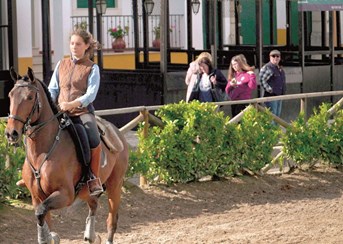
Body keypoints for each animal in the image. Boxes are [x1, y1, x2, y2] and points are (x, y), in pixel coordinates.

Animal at [4, 66, 130, 244]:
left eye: (29, 97)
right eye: (10, 95)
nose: (11, 133)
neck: (43, 152)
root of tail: (117, 133)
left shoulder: (65, 195)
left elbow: (41, 213)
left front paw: (49, 237)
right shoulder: (37, 197)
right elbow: (42, 216)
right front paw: (51, 236)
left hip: (115, 185)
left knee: (111, 220)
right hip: (88, 191)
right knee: (93, 204)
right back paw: (91, 236)